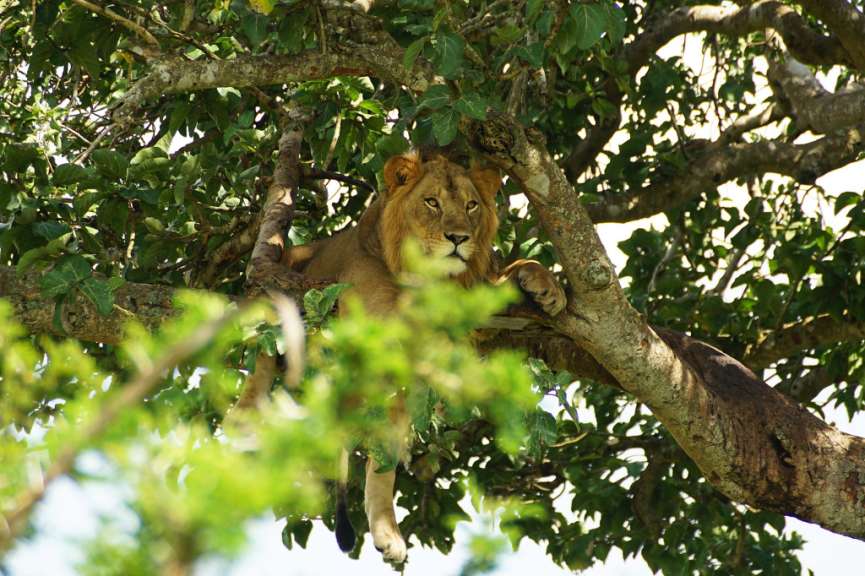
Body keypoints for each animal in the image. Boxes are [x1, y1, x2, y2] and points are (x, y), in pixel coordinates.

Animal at [283, 152, 566, 564]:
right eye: (432, 202)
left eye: (471, 205)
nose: (459, 238)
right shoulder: (381, 316)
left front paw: (544, 284)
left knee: (382, 460)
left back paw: (387, 533)